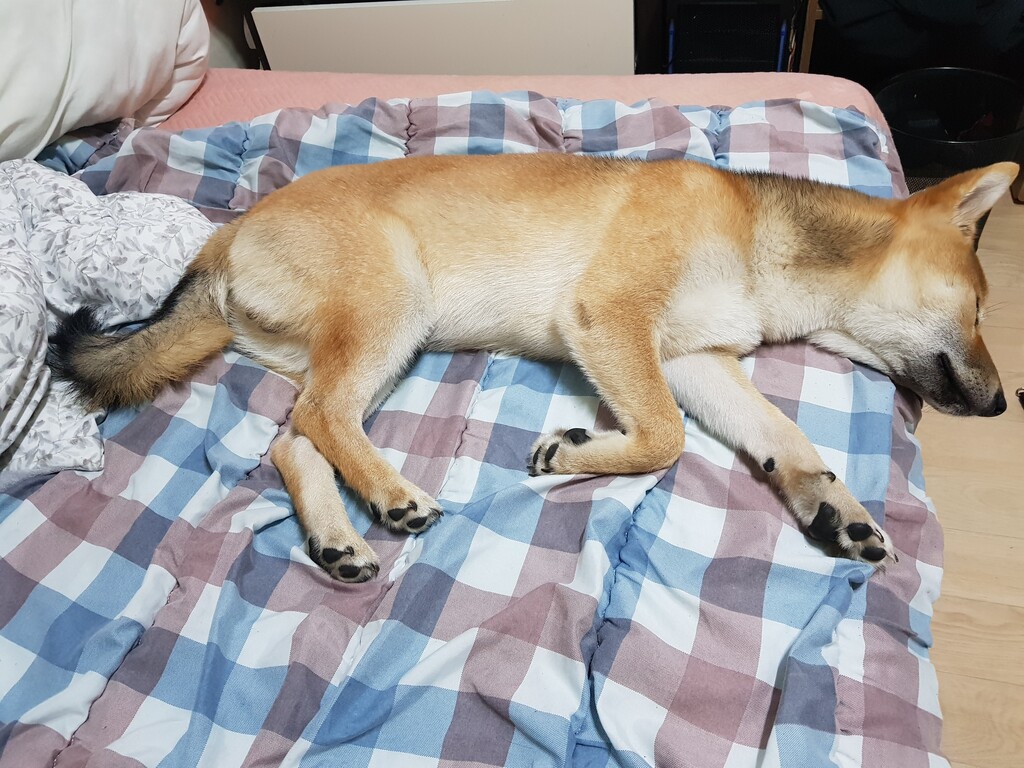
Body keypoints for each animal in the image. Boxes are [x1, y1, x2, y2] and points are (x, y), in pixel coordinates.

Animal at [49, 154, 1017, 582]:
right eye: (977, 310)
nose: (1006, 406)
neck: (763, 243)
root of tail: (224, 236)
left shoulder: (697, 360)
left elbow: (787, 441)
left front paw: (836, 510)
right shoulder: (614, 320)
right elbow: (662, 438)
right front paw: (576, 451)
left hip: (353, 344)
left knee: (295, 438)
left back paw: (337, 540)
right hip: (393, 306)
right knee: (322, 421)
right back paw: (391, 497)